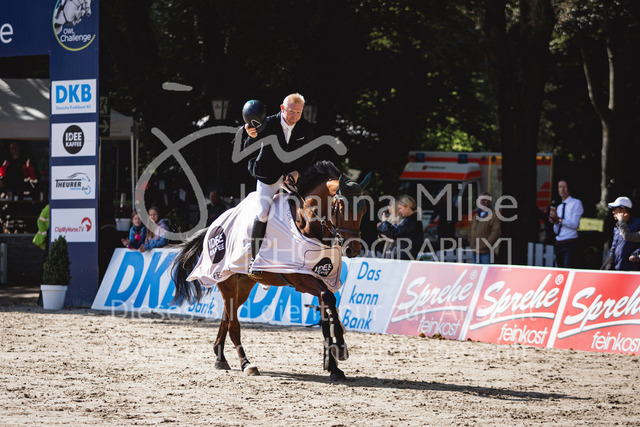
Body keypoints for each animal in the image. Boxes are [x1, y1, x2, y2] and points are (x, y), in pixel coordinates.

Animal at [171, 161, 370, 381]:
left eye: (363, 208)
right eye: (341, 207)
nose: (353, 249)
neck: (309, 226)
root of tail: (212, 228)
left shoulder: (323, 279)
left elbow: (327, 316)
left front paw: (333, 366)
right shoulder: (302, 279)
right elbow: (329, 302)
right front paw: (341, 347)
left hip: (243, 285)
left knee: (226, 317)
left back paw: (220, 357)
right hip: (227, 281)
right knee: (233, 325)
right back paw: (246, 364)